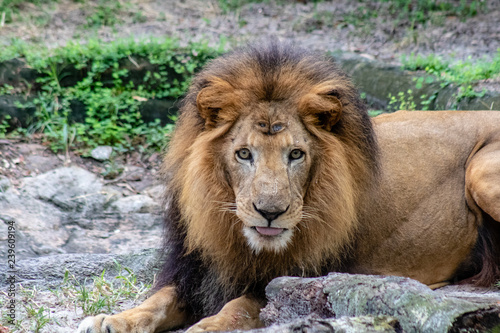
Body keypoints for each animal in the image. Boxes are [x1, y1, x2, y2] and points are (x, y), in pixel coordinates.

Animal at [77, 42, 500, 332]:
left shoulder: (306, 274)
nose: (270, 212)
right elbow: (158, 299)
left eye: (296, 154)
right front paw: (113, 320)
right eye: (243, 153)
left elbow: (242, 305)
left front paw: (207, 325)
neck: (236, 239)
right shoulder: (194, 270)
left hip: (481, 173)